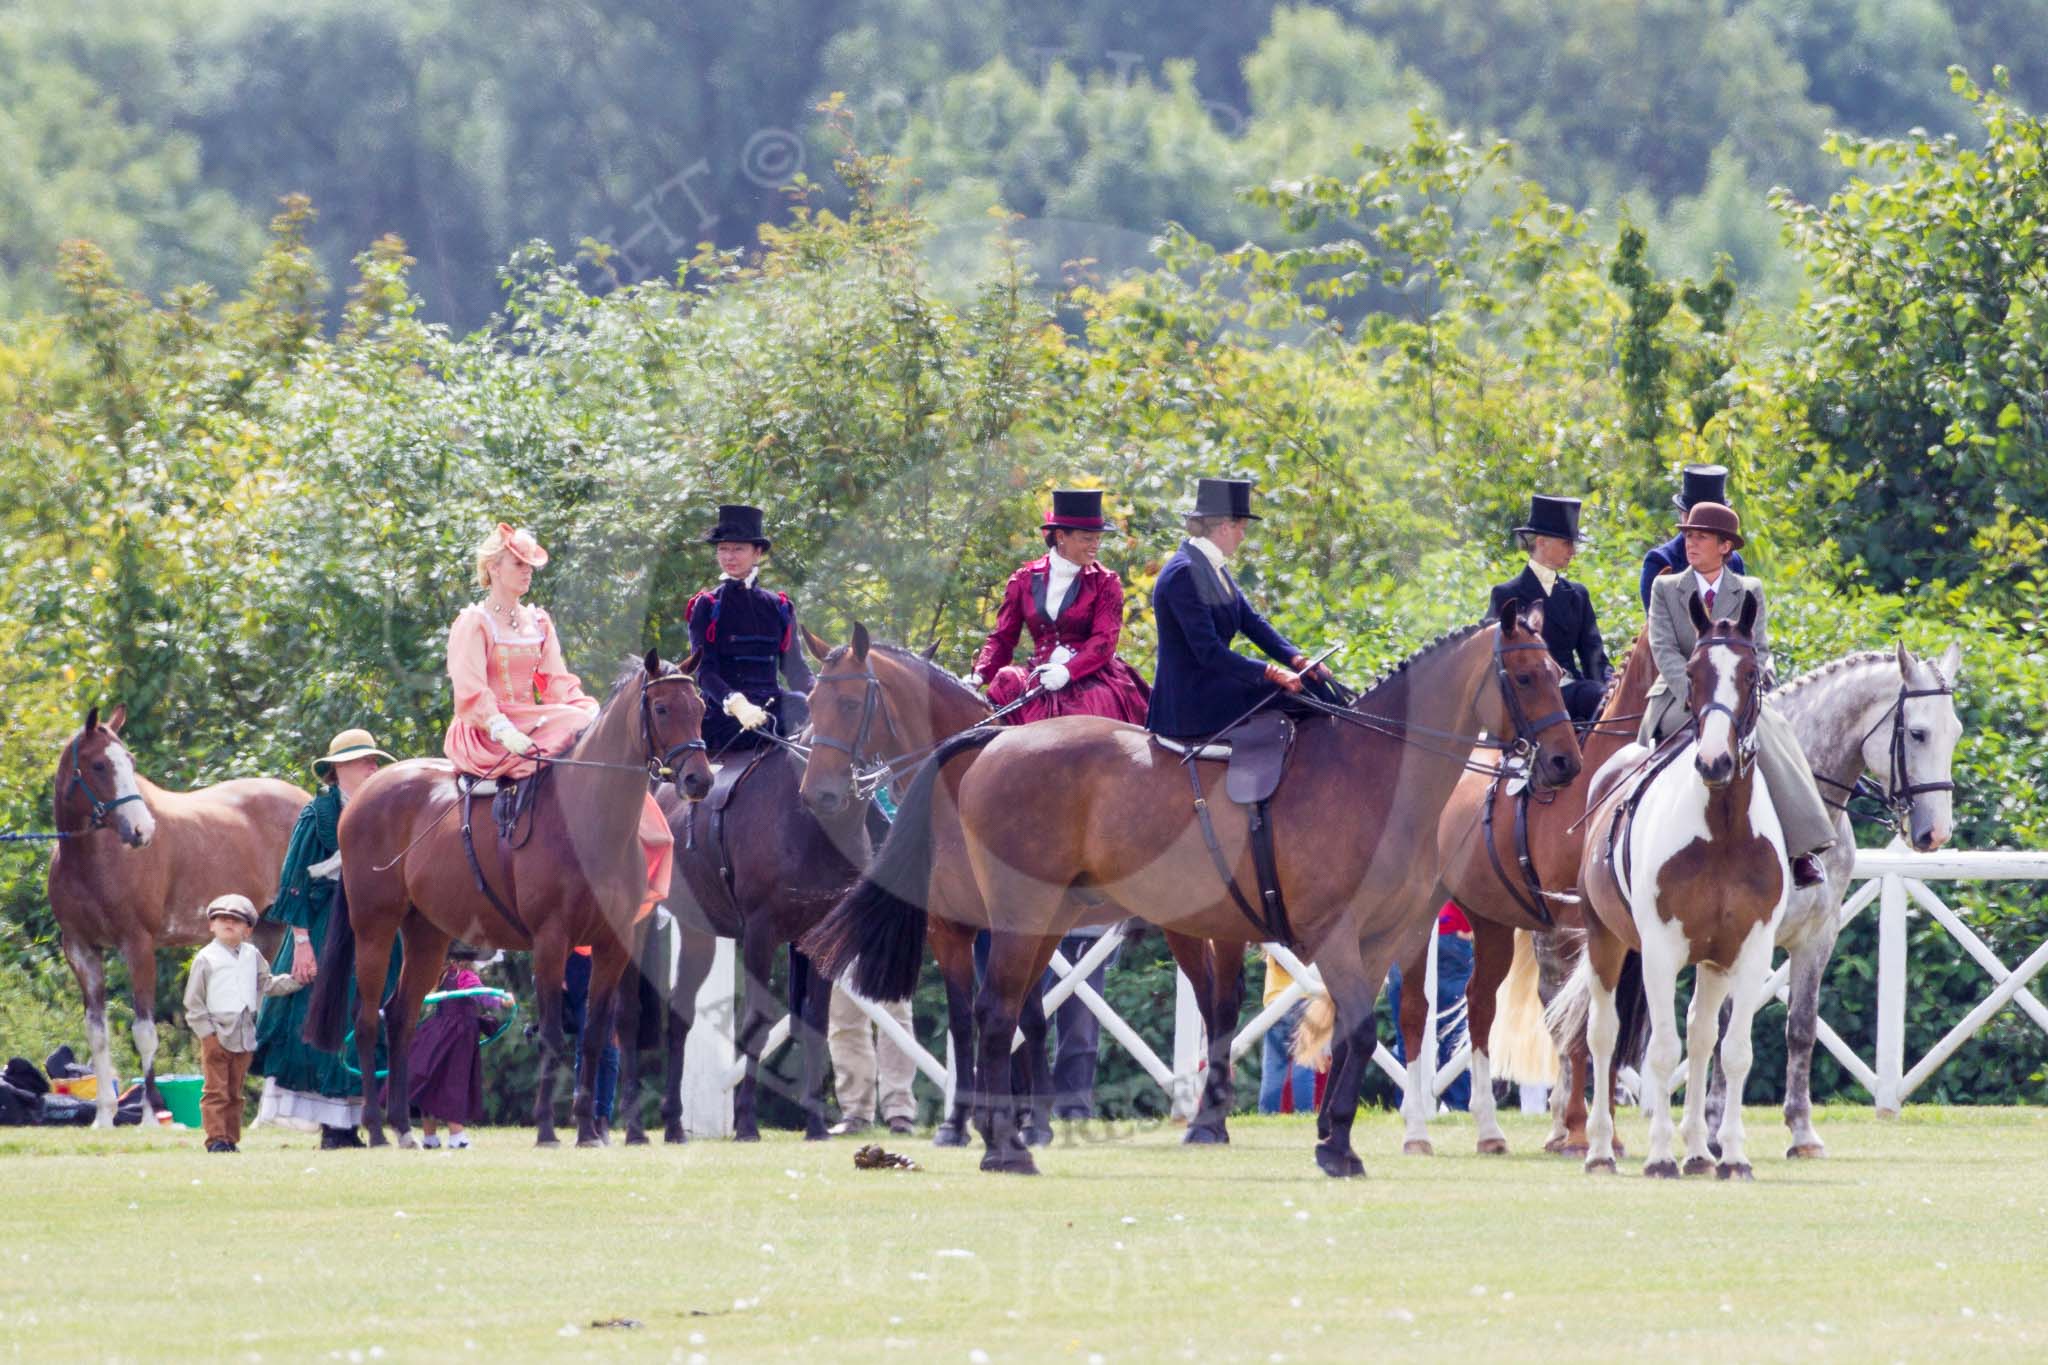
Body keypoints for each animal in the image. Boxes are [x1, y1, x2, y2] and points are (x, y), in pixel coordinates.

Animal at [47, 712, 307, 1129]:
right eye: (100, 765)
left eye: (130, 761)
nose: (142, 830)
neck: (92, 859)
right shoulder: (81, 950)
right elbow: (97, 1032)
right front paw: (103, 1116)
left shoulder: (138, 946)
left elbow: (144, 1031)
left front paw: (151, 1116)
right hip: (267, 932)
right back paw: (262, 1117)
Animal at [1556, 593, 1785, 1178]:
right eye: (1695, 674)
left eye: (1750, 675)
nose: (1714, 761)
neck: (1723, 829)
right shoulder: (1659, 950)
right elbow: (1659, 1050)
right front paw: (1660, 1155)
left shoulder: (1747, 951)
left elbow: (1733, 1052)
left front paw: (1732, 1157)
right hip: (1606, 943)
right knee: (1603, 1035)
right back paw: (1598, 1149)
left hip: (1710, 963)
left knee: (1702, 1038)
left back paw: (1701, 1152)